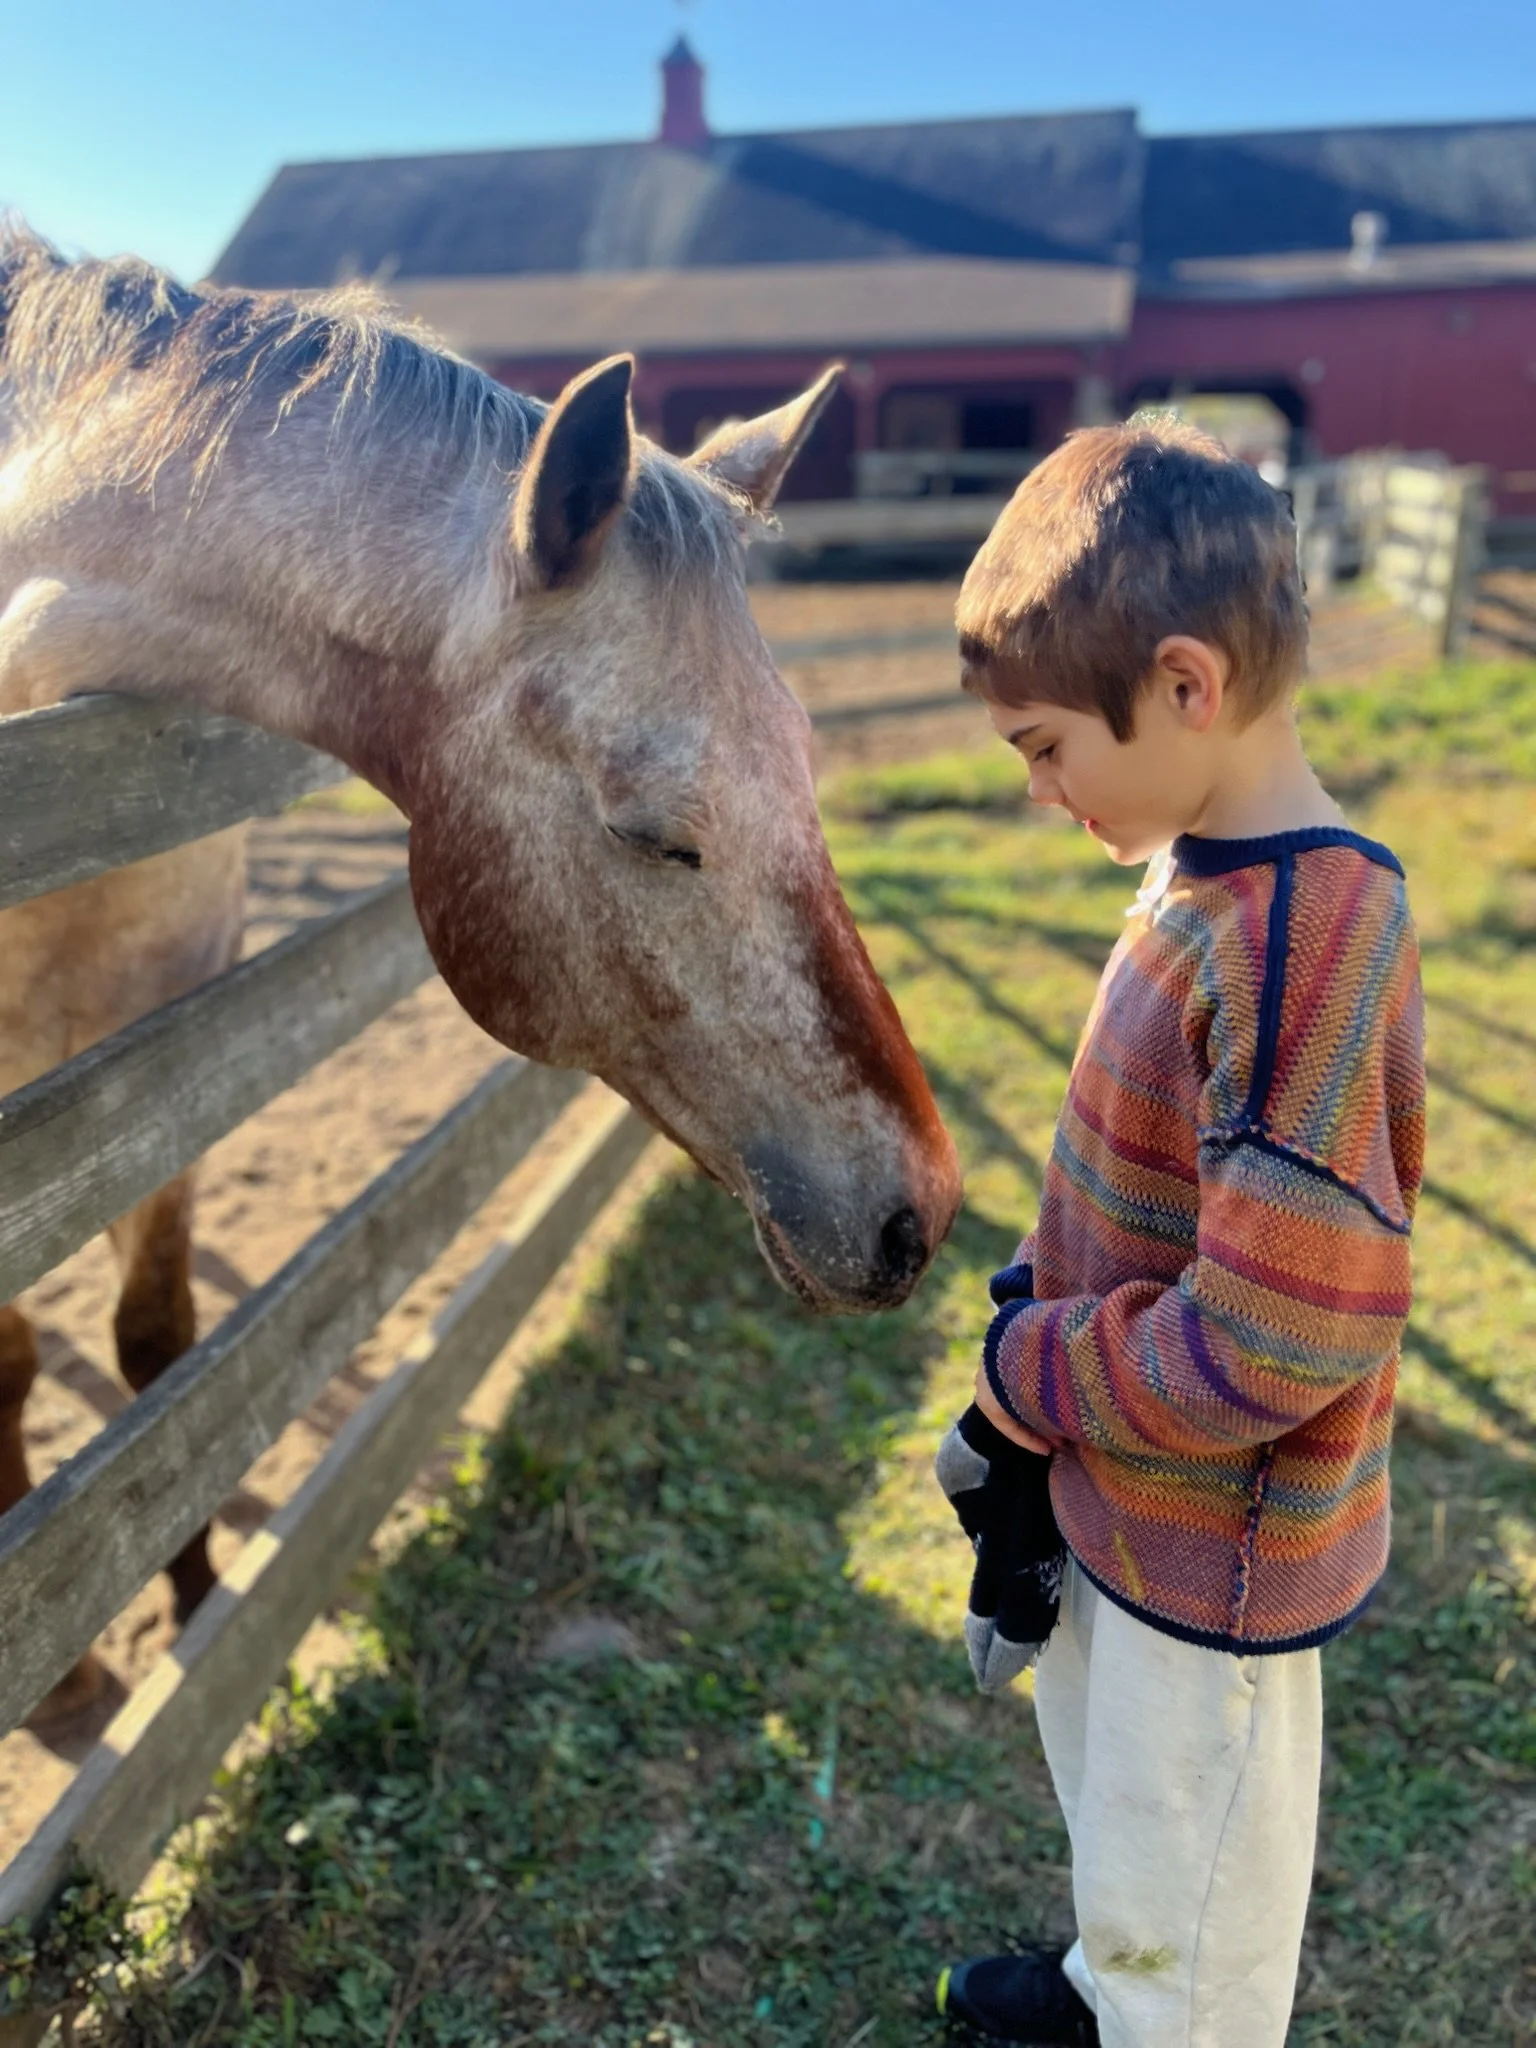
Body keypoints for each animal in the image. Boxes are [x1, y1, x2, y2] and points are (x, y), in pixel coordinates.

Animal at [0, 227, 962, 1713]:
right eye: (655, 831)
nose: (922, 1212)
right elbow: (15, 1366)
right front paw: (64, 1684)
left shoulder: (155, 1086)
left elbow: (159, 1353)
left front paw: (198, 1604)